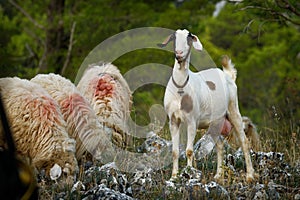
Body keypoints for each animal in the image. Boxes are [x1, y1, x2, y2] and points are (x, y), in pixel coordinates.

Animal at [157, 28, 255, 183]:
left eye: (189, 39)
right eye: (174, 38)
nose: (179, 54)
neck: (180, 89)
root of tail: (228, 75)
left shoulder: (192, 121)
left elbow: (189, 151)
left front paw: (189, 174)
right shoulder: (173, 120)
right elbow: (175, 151)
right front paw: (173, 177)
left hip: (233, 110)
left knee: (244, 142)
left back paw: (250, 176)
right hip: (216, 122)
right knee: (220, 146)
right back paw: (218, 175)